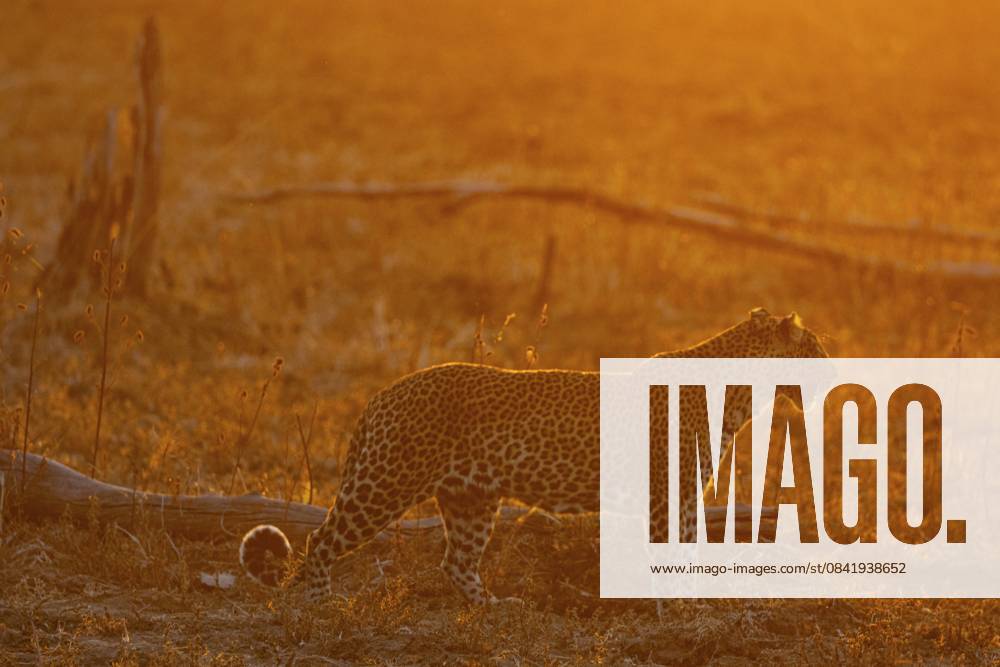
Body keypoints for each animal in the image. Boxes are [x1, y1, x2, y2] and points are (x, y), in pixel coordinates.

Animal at [240, 308, 827, 604]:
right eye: (816, 348)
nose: (833, 363)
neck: (742, 393)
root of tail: (383, 393)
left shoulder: (683, 497)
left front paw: (693, 608)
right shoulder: (668, 495)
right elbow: (670, 561)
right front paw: (680, 614)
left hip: (472, 498)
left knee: (456, 561)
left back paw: (493, 610)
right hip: (386, 483)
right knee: (320, 539)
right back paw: (320, 603)